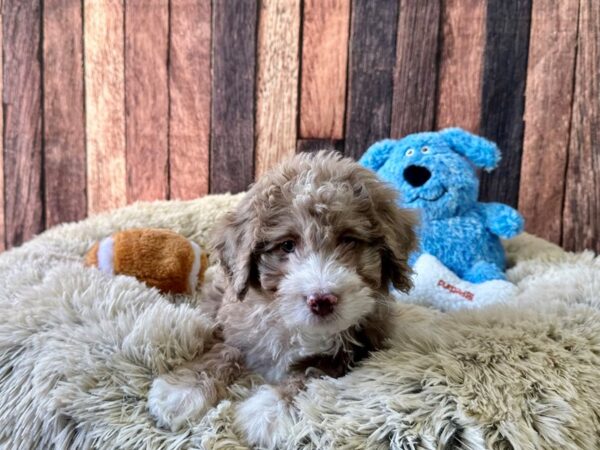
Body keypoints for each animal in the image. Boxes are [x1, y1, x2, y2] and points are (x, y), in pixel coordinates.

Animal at [148, 152, 418, 446]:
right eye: (287, 245)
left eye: (349, 240)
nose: (322, 300)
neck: (292, 326)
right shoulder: (238, 324)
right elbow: (226, 349)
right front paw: (183, 390)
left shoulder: (352, 350)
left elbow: (309, 371)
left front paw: (271, 410)